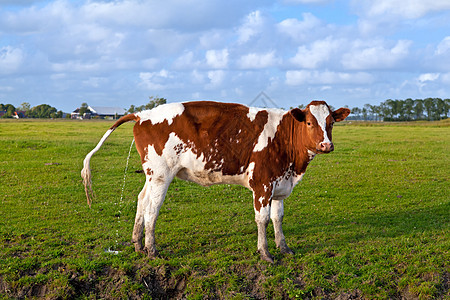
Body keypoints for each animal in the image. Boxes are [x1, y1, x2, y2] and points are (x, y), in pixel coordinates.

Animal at [81, 99, 352, 262]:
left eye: (331, 122)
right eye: (310, 122)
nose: (326, 145)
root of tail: (142, 114)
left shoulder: (280, 184)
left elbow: (278, 217)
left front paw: (283, 247)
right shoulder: (262, 184)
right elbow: (262, 219)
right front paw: (265, 253)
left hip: (152, 175)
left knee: (141, 201)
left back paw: (137, 244)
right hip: (161, 175)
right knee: (152, 209)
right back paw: (151, 249)